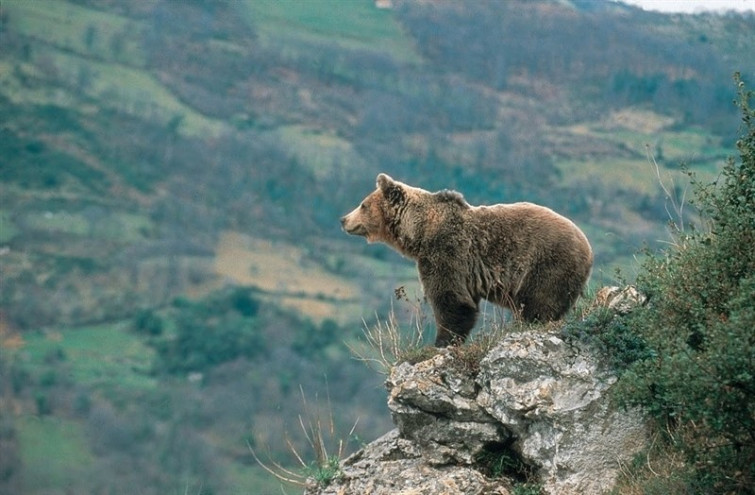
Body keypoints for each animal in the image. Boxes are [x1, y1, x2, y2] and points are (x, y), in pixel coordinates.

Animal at [342, 174, 596, 348]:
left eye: (363, 204)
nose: (343, 219)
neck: (419, 232)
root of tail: (588, 246)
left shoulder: (447, 252)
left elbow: (451, 299)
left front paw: (441, 342)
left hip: (547, 263)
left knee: (539, 303)